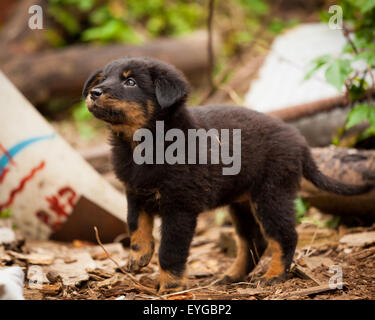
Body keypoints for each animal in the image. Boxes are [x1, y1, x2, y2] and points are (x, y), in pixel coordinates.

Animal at [83, 57, 374, 292]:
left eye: (130, 82)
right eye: (104, 78)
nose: (94, 92)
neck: (144, 144)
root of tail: (301, 143)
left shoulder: (180, 207)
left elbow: (170, 250)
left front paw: (171, 286)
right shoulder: (135, 191)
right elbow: (135, 225)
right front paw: (139, 257)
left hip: (271, 194)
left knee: (285, 236)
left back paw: (273, 275)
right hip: (242, 202)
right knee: (254, 241)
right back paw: (232, 276)